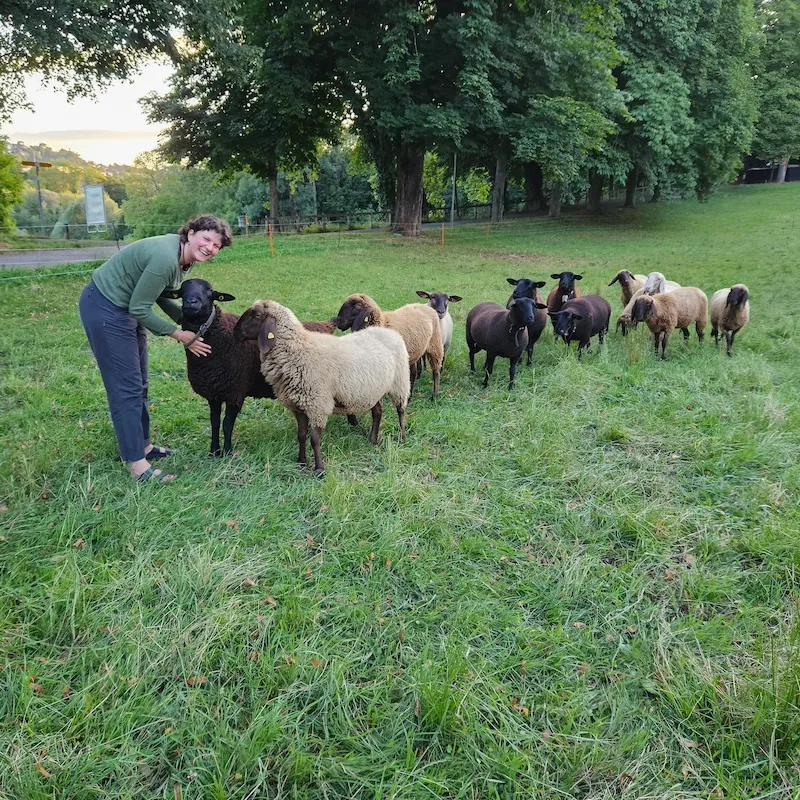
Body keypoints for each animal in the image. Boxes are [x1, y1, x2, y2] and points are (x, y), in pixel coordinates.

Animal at [159, 278, 276, 456]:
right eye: (181, 291)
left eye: (209, 291)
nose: (191, 303)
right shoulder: (213, 393)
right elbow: (214, 422)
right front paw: (214, 451)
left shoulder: (235, 392)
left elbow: (227, 425)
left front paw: (227, 452)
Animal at [233, 300, 410, 475]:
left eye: (257, 315)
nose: (235, 332)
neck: (297, 351)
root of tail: (388, 331)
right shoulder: (299, 406)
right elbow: (301, 435)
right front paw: (301, 462)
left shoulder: (317, 405)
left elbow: (315, 440)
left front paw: (319, 469)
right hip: (374, 389)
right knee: (378, 412)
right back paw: (373, 440)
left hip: (400, 382)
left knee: (400, 410)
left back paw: (402, 437)